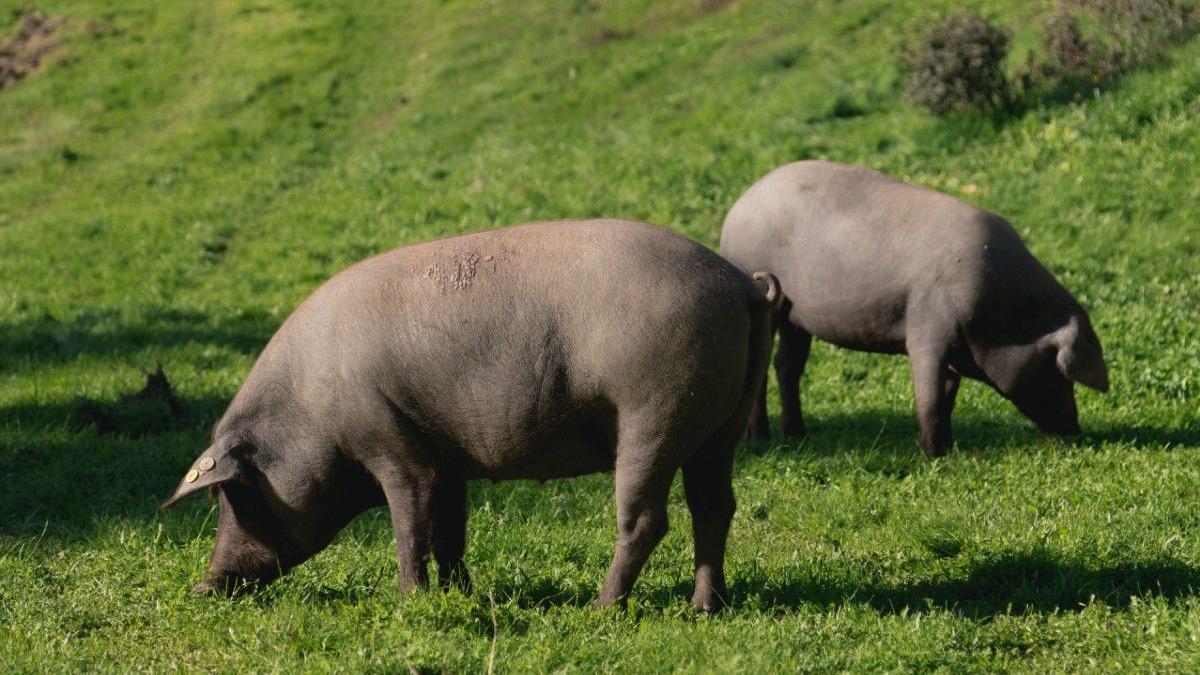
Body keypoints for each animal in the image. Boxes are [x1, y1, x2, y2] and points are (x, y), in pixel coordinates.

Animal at [164, 219, 782, 610]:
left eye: (234, 495)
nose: (204, 587)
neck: (308, 410)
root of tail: (742, 285)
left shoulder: (391, 443)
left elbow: (410, 525)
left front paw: (410, 602)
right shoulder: (447, 460)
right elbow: (449, 532)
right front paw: (457, 595)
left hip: (654, 409)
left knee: (648, 518)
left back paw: (601, 608)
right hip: (720, 425)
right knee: (714, 507)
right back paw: (703, 608)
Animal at [715, 162, 1108, 456]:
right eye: (1055, 368)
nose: (1074, 429)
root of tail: (736, 209)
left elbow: (948, 391)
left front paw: (949, 447)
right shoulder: (928, 328)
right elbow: (929, 393)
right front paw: (934, 454)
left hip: (796, 317)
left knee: (787, 365)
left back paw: (797, 434)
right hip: (767, 302)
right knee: (763, 369)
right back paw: (760, 440)